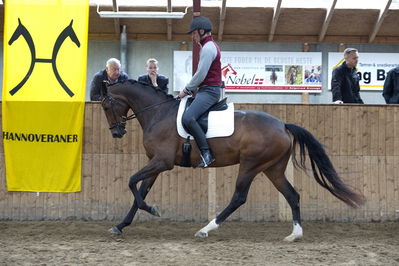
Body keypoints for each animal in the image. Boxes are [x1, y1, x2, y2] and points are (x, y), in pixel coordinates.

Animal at [101, 80, 366, 241]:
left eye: (105, 104)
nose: (116, 132)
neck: (159, 112)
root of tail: (282, 125)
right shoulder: (155, 163)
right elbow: (140, 190)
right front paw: (121, 225)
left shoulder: (162, 162)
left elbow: (131, 182)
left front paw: (152, 209)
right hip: (273, 169)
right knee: (292, 195)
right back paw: (295, 234)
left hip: (250, 165)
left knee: (239, 197)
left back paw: (206, 229)